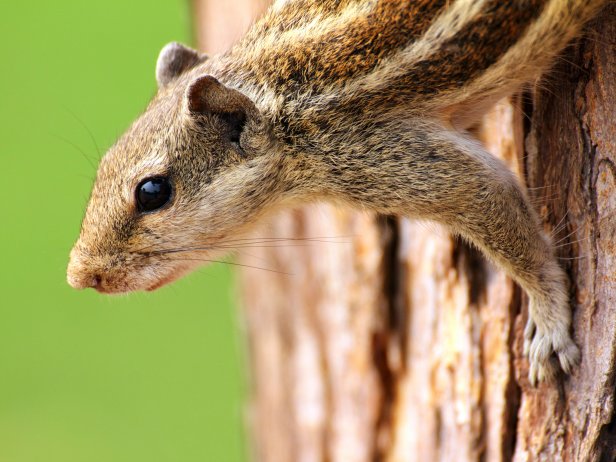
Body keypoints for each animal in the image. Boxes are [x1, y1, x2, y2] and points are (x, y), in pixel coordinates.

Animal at [68, 0, 612, 386]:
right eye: (104, 164)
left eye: (152, 191)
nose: (78, 275)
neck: (280, 99)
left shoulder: (392, 161)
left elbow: (501, 214)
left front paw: (550, 326)